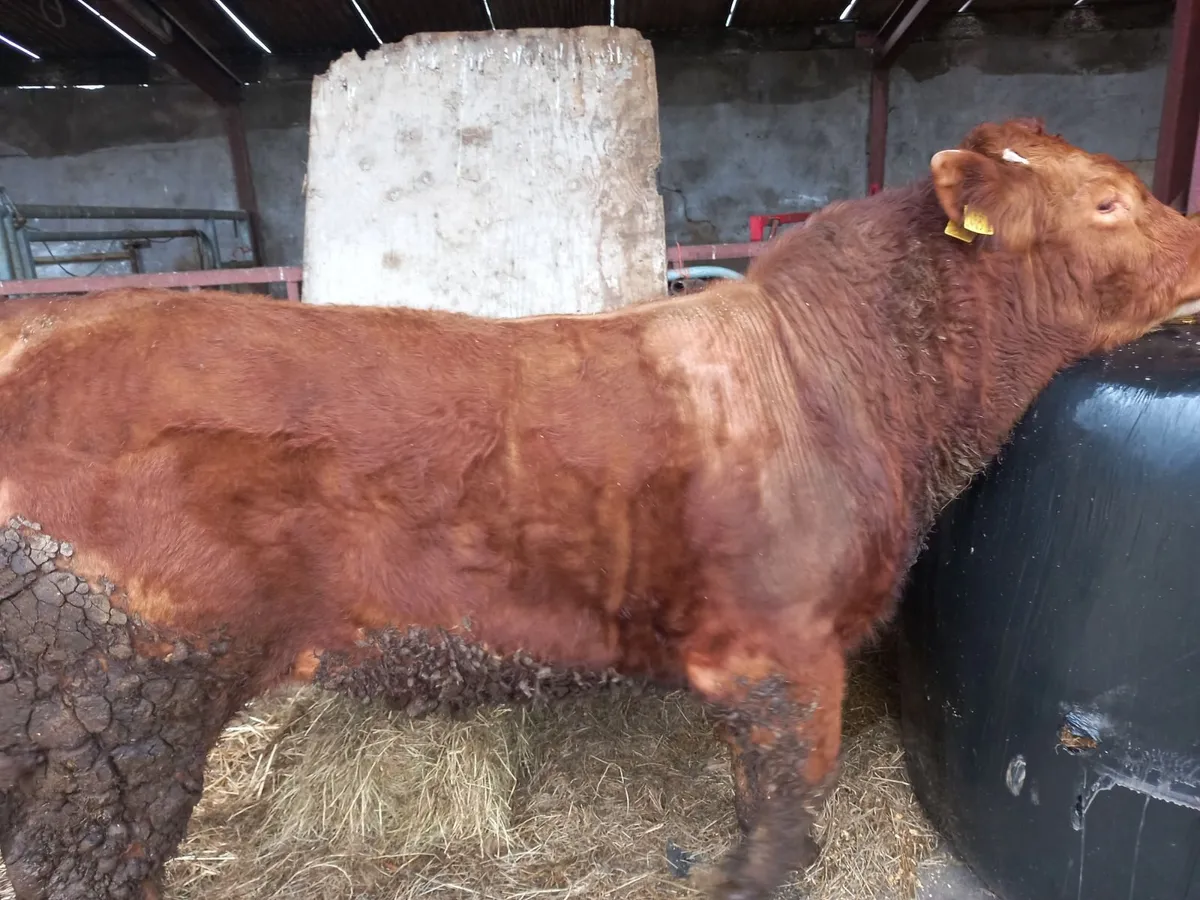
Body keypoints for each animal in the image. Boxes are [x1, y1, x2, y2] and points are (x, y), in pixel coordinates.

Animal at [0, 117, 1197, 900]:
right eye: (1107, 199)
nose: (1197, 244)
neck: (853, 382)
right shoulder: (783, 652)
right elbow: (780, 809)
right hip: (124, 707)